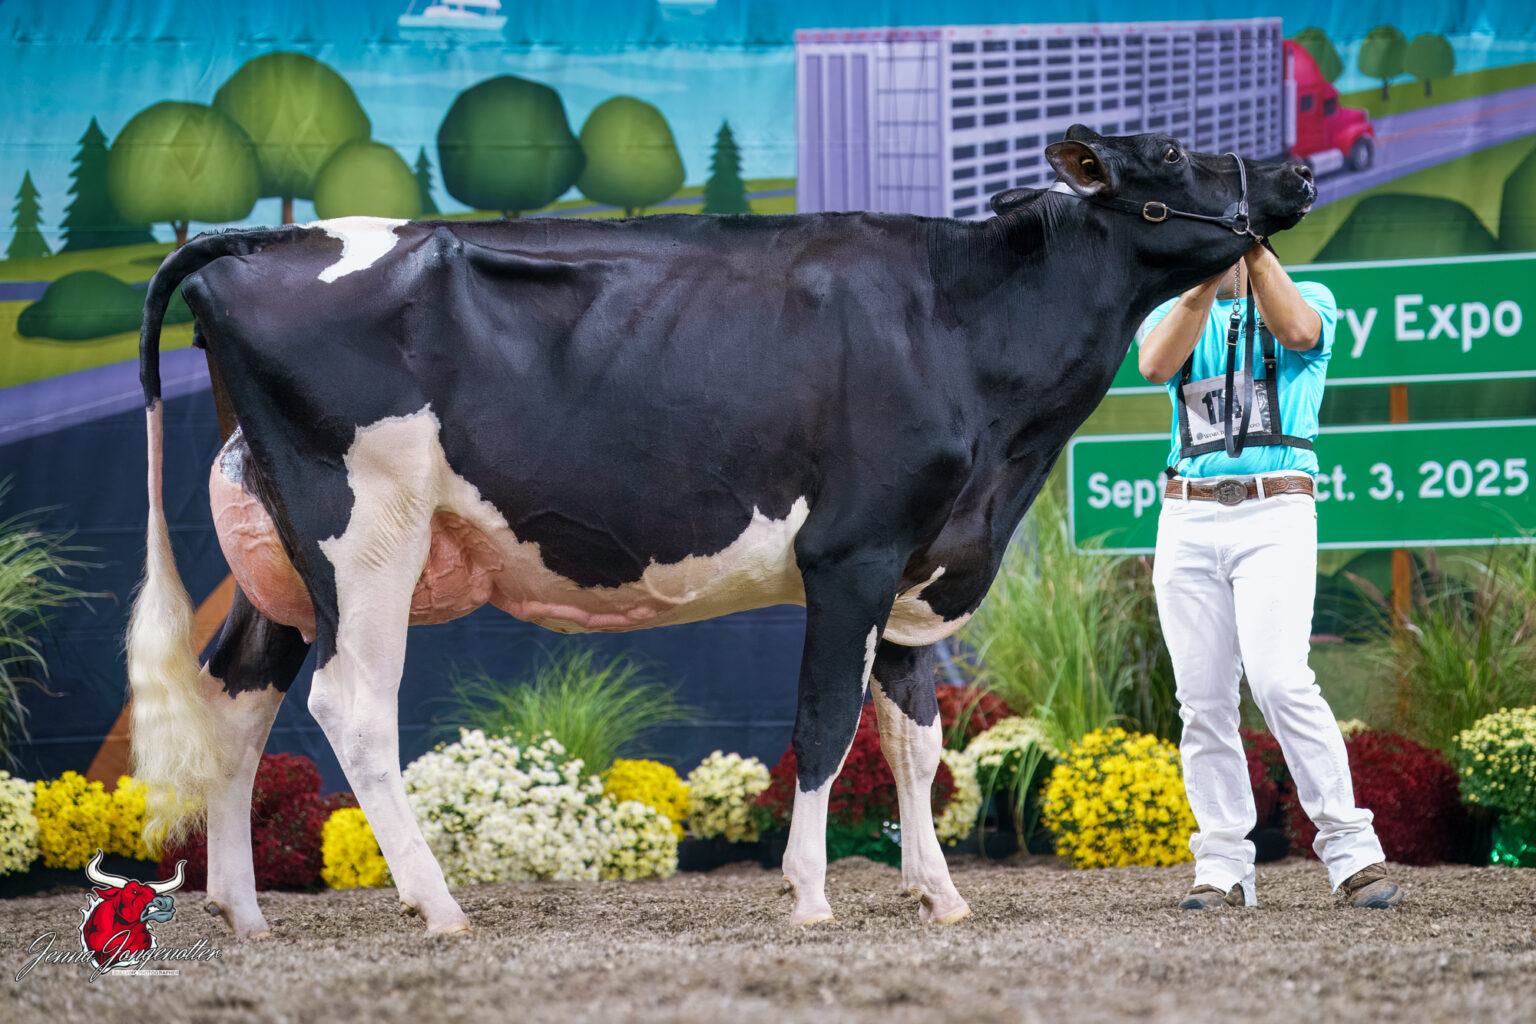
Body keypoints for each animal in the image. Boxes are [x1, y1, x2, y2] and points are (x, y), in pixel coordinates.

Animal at [125, 126, 1315, 937]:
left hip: (281, 549)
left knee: (239, 693)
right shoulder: (852, 554)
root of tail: (256, 240)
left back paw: (243, 912)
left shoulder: (922, 566)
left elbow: (917, 740)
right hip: (366, 530)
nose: (1297, 176)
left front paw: (938, 894)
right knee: (354, 705)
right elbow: (827, 725)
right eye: (1175, 154)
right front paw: (811, 893)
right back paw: (439, 904)